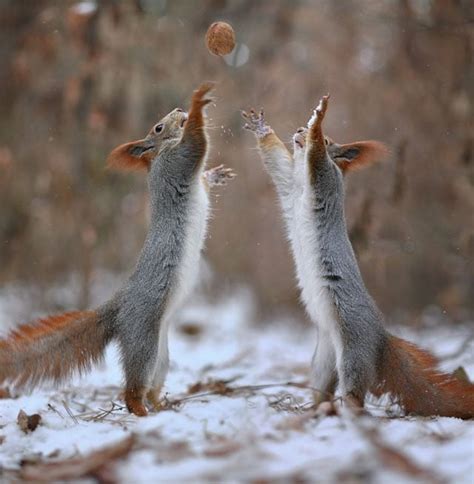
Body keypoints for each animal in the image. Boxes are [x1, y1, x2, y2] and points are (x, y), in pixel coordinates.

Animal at [0, 82, 235, 416]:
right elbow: (196, 143)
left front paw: (216, 175)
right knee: (132, 390)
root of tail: (119, 306)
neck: (159, 155)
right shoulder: (177, 162)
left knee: (152, 384)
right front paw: (198, 103)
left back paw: (161, 406)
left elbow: (202, 172)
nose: (178, 109)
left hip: (160, 355)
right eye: (158, 127)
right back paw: (142, 412)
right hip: (143, 338)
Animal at [243, 99, 474, 420]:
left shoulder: (324, 178)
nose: (300, 130)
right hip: (324, 359)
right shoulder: (288, 183)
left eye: (330, 141)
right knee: (323, 388)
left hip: (353, 347)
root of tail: (379, 338)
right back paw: (309, 409)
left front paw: (319, 120)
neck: (301, 182)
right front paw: (262, 128)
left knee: (355, 394)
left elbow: (317, 158)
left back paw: (347, 412)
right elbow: (276, 161)